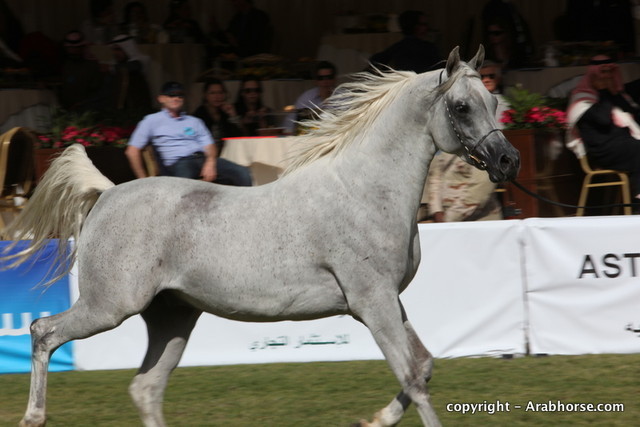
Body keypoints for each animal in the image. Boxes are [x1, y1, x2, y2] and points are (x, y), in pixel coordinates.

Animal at [2, 45, 519, 427]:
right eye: (461, 106)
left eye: (495, 103)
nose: (508, 161)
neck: (363, 190)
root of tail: (107, 192)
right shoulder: (373, 302)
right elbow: (412, 374)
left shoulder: (389, 300)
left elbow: (425, 366)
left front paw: (374, 419)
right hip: (110, 307)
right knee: (43, 332)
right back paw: (33, 417)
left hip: (172, 318)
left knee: (145, 388)